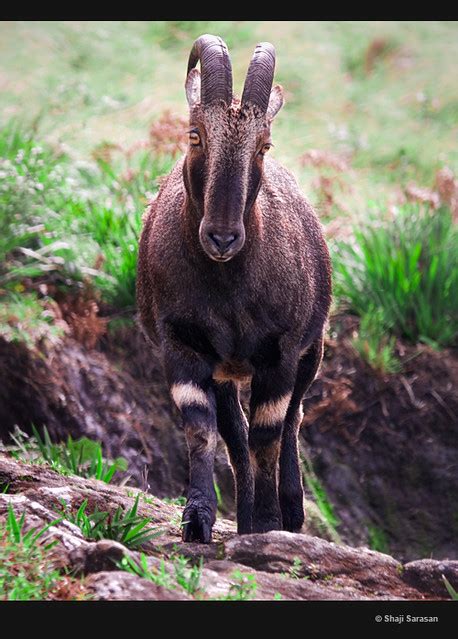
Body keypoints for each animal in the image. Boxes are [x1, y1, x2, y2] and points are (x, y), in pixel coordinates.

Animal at [135, 35, 330, 544]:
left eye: (264, 145)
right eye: (195, 134)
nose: (222, 237)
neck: (228, 293)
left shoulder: (280, 352)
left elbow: (269, 433)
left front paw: (268, 524)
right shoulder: (183, 345)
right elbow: (203, 429)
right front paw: (198, 518)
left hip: (313, 350)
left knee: (292, 420)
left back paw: (289, 512)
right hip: (225, 371)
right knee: (236, 435)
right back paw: (240, 519)